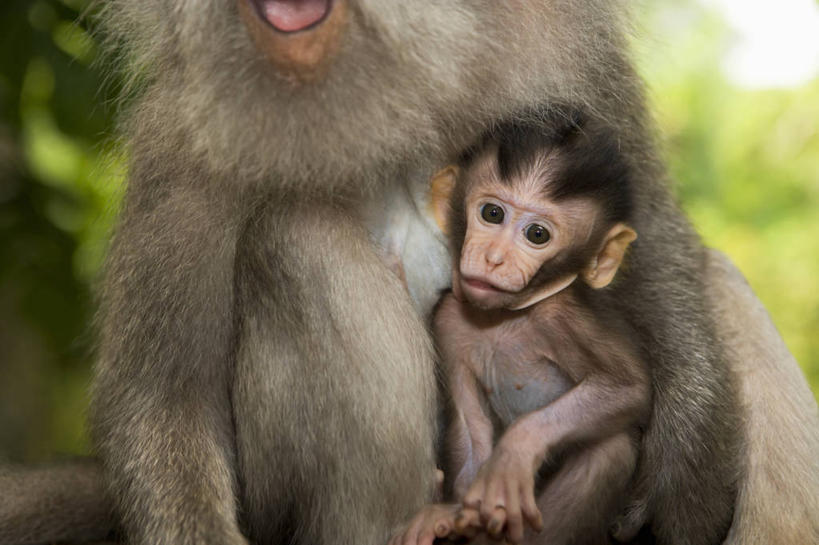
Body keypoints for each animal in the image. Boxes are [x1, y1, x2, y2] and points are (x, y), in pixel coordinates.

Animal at [390, 111, 652, 544]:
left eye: (537, 235)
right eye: (492, 214)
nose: (494, 258)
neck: (501, 320)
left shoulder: (566, 319)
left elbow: (629, 387)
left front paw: (514, 454)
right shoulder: (449, 321)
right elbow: (473, 432)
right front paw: (451, 513)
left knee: (608, 450)